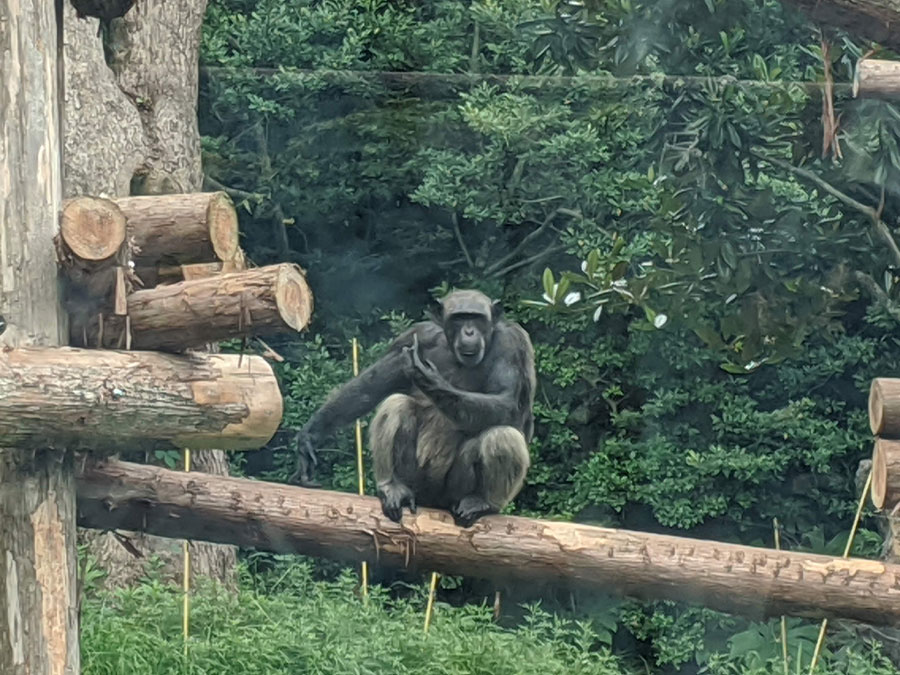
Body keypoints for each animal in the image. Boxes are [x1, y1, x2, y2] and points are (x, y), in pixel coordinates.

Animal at [292, 290, 536, 528]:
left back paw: (482, 502)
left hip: (454, 492)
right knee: (396, 404)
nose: (469, 331)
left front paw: (427, 376)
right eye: (459, 318)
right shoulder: (414, 337)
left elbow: (506, 400)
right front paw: (308, 438)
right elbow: (370, 387)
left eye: (477, 318)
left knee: (503, 436)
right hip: (416, 482)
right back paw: (391, 486)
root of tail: (434, 503)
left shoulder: (511, 344)